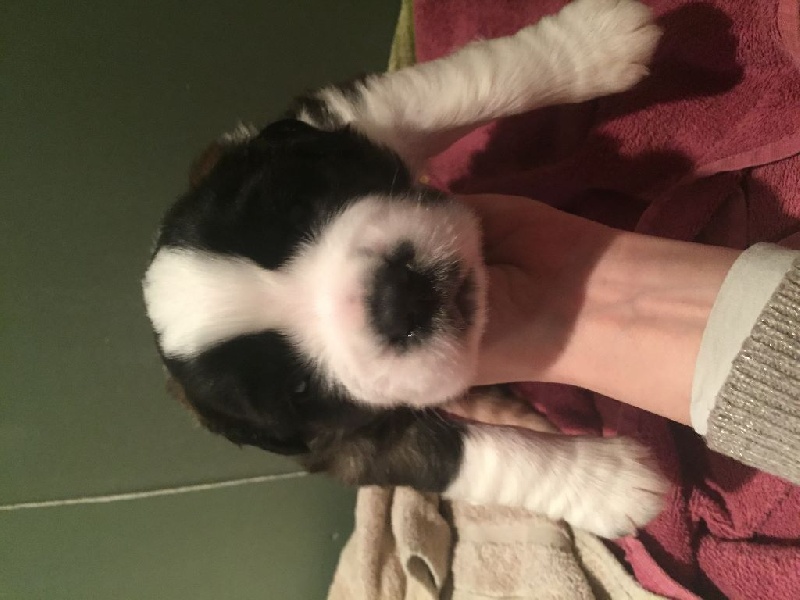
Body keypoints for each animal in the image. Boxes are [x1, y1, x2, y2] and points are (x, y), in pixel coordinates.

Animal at [143, 0, 667, 538]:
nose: (396, 300)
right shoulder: (357, 450)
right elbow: (473, 458)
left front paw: (590, 44)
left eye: (299, 206)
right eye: (300, 390)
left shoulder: (352, 112)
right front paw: (607, 483)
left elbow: (463, 84)